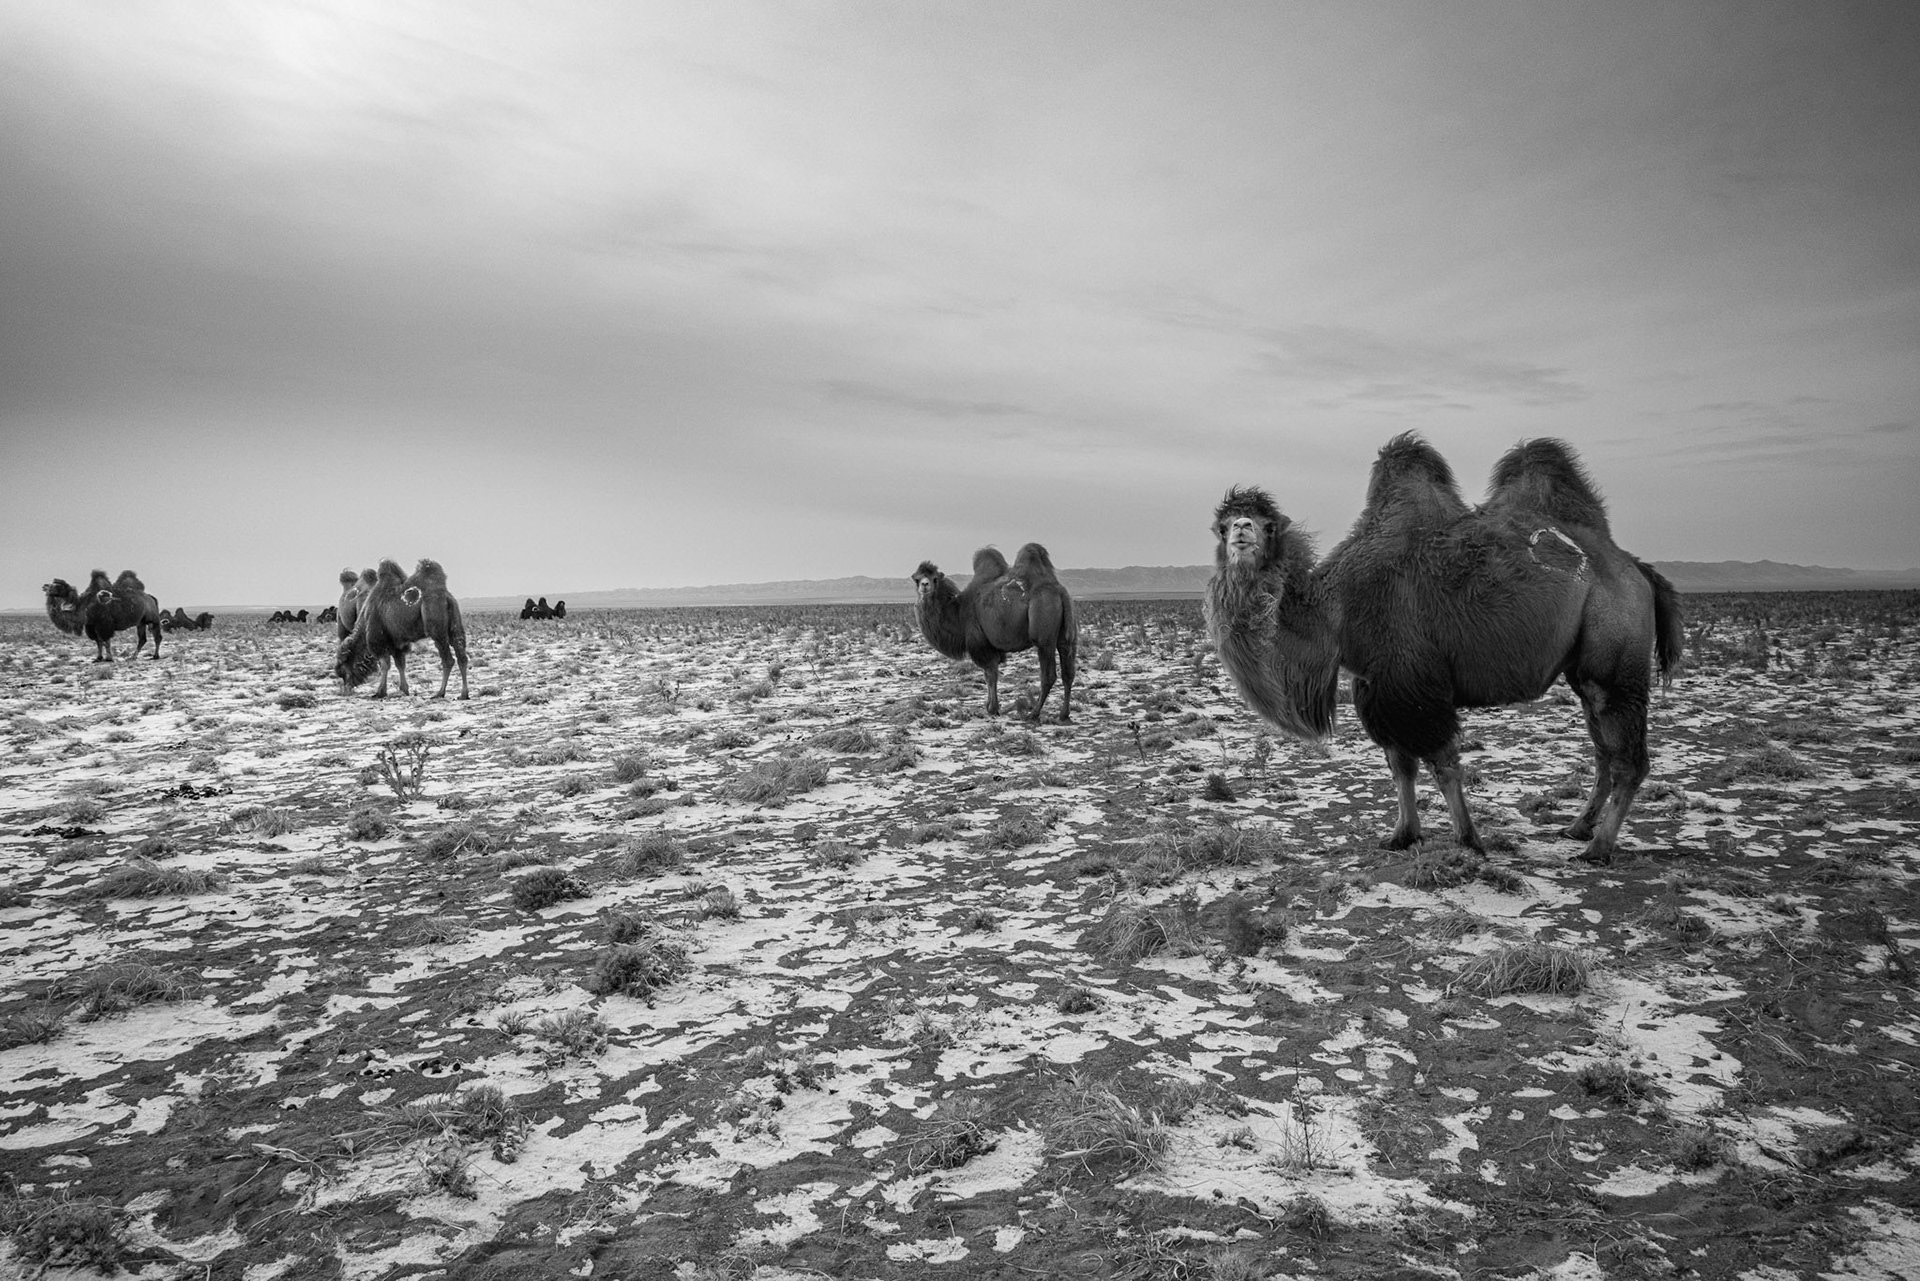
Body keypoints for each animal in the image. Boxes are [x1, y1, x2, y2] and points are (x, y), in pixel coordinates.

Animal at [335, 558, 470, 700]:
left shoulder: (379, 639)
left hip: (436, 628)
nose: (346, 690)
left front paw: (380, 692)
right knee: (462, 656)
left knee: (448, 660)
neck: (365, 620)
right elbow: (400, 664)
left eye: (342, 671)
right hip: (455, 627)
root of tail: (446, 596)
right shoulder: (397, 642)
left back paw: (440, 693)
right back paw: (463, 694)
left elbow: (385, 664)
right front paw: (404, 690)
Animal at [912, 543, 1077, 722]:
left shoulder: (979, 642)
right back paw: (1063, 714)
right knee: (1068, 671)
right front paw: (990, 706)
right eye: (917, 578)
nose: (925, 585)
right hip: (1066, 635)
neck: (958, 611)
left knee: (1048, 675)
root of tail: (1059, 590)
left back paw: (1034, 713)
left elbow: (990, 674)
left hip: (1043, 632)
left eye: (934, 578)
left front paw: (992, 708)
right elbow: (989, 674)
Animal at [1205, 433, 1681, 865]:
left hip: (1616, 652)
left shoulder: (1415, 681)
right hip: (1582, 669)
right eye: (1224, 525)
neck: (1337, 609)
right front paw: (1402, 835)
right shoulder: (1377, 685)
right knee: (1603, 750)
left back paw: (1598, 848)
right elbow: (1400, 764)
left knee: (1628, 758)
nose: (1243, 529)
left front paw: (1469, 839)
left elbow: (1443, 763)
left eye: (1266, 524)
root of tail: (1637, 569)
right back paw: (1578, 827)